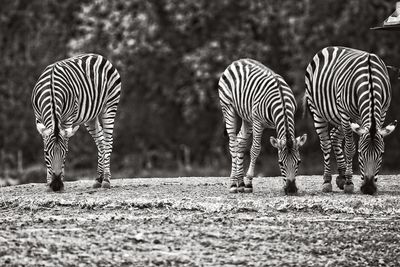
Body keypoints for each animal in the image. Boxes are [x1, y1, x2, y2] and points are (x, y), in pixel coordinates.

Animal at [31, 53, 120, 192]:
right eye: (46, 153)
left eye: (66, 153)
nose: (56, 185)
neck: (51, 91)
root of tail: (99, 56)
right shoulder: (39, 118)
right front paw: (48, 183)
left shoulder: (68, 119)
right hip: (91, 116)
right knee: (100, 141)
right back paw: (98, 179)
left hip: (110, 105)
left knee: (108, 141)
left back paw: (106, 180)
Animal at [219, 58, 306, 195]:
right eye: (280, 163)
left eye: (299, 162)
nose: (291, 190)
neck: (281, 101)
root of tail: (237, 61)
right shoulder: (258, 123)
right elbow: (255, 149)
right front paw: (249, 183)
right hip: (228, 108)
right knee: (232, 144)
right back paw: (234, 184)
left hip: (247, 117)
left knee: (240, 142)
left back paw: (240, 182)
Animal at [304, 46, 396, 195]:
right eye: (360, 154)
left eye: (381, 154)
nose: (369, 189)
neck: (369, 80)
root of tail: (329, 47)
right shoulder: (345, 112)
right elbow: (349, 148)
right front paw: (349, 182)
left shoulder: (382, 112)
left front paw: (346, 179)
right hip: (318, 111)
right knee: (325, 143)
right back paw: (327, 181)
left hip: (344, 118)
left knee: (334, 136)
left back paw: (341, 176)